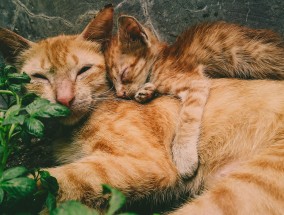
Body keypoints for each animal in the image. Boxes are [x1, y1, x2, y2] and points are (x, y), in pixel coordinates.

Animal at [105, 15, 284, 178]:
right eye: (112, 83)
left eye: (124, 73)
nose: (120, 93)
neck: (159, 61)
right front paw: (146, 91)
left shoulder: (196, 83)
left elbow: (186, 121)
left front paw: (184, 157)